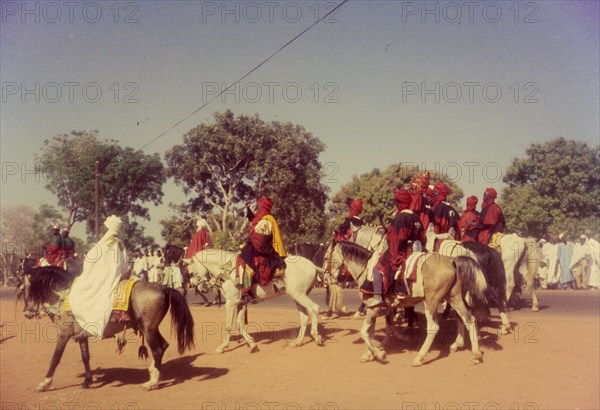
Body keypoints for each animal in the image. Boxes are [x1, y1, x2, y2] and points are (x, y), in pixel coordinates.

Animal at [17, 266, 195, 390]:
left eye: (25, 288)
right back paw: (152, 372)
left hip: (148, 329)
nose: (27, 312)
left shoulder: (64, 334)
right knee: (164, 346)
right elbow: (85, 357)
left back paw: (151, 383)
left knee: (157, 350)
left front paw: (44, 383)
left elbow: (55, 358)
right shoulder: (81, 336)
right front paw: (87, 381)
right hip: (150, 328)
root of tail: (164, 287)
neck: (65, 295)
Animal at [191, 248, 324, 354]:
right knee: (304, 317)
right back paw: (297, 342)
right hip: (297, 296)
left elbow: (228, 325)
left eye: (192, 271)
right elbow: (239, 325)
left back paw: (317, 337)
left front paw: (222, 347)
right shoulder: (241, 303)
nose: (199, 287)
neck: (229, 270)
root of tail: (313, 266)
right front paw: (252, 345)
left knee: (315, 308)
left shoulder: (231, 303)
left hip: (299, 295)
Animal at [330, 239, 490, 366]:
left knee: (434, 327)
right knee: (468, 318)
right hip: (454, 297)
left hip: (431, 302)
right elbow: (384, 324)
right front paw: (377, 349)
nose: (328, 279)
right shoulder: (385, 305)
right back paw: (474, 354)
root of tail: (452, 261)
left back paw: (420, 358)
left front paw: (379, 353)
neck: (367, 269)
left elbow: (365, 332)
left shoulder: (373, 306)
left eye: (328, 257)